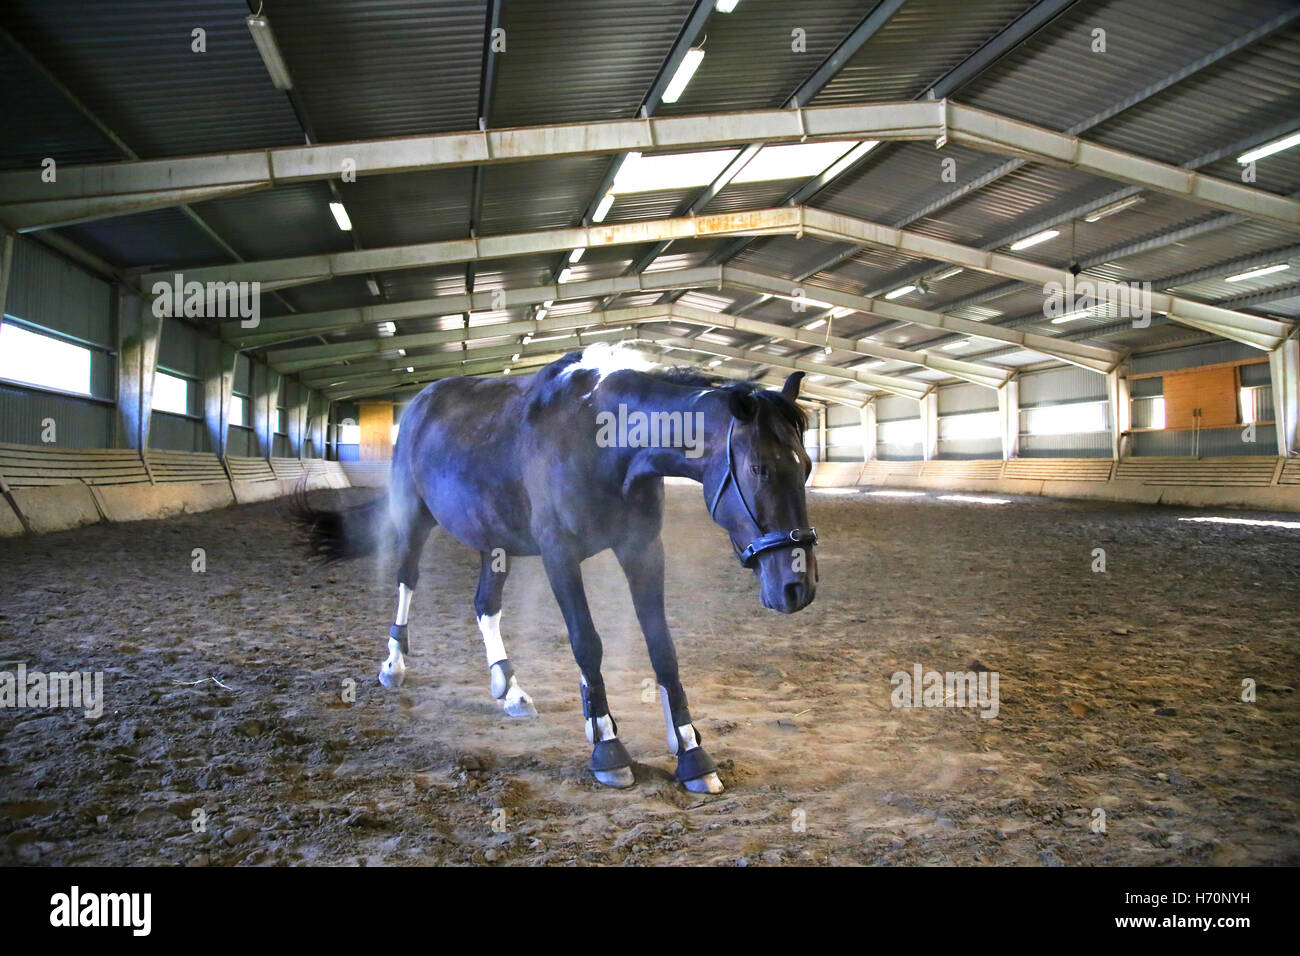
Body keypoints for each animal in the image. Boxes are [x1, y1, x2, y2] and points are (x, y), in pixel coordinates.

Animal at [295, 344, 819, 793]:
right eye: (758, 469)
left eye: (807, 467)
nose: (798, 588)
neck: (604, 442)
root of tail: (422, 401)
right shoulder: (559, 555)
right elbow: (587, 643)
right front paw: (607, 747)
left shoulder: (643, 550)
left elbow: (663, 648)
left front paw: (691, 754)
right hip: (413, 517)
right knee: (407, 582)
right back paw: (394, 666)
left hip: (494, 541)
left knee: (485, 605)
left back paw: (509, 689)